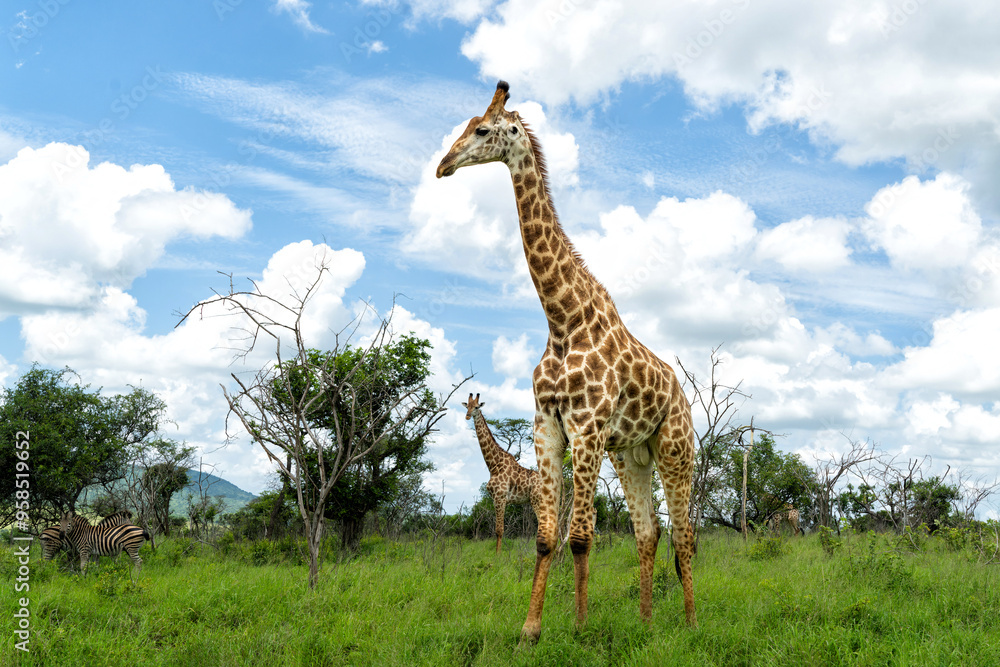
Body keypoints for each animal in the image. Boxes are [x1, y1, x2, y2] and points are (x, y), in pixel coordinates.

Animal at [463, 392, 542, 554]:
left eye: (476, 407)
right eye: (467, 406)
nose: (467, 416)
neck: (493, 465)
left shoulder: (500, 497)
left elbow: (499, 530)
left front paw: (497, 555)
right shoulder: (495, 498)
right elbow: (497, 530)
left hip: (537, 500)